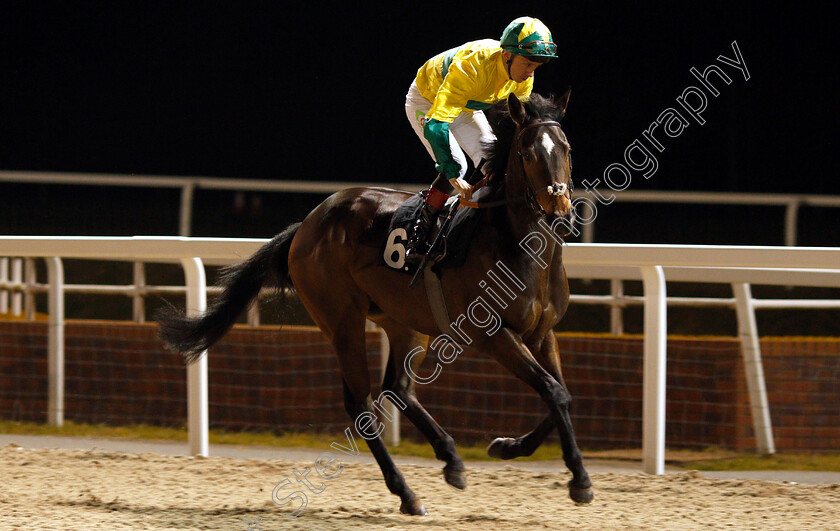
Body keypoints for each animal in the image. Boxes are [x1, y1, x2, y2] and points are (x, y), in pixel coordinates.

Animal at [158, 90, 592, 516]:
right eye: (528, 152)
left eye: (566, 149)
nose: (560, 210)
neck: (515, 245)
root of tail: (306, 225)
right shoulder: (495, 335)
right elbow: (553, 391)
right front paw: (580, 481)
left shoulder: (542, 333)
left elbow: (563, 393)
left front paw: (509, 447)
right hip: (342, 321)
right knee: (361, 403)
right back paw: (406, 492)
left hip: (405, 322)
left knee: (397, 389)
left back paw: (450, 459)